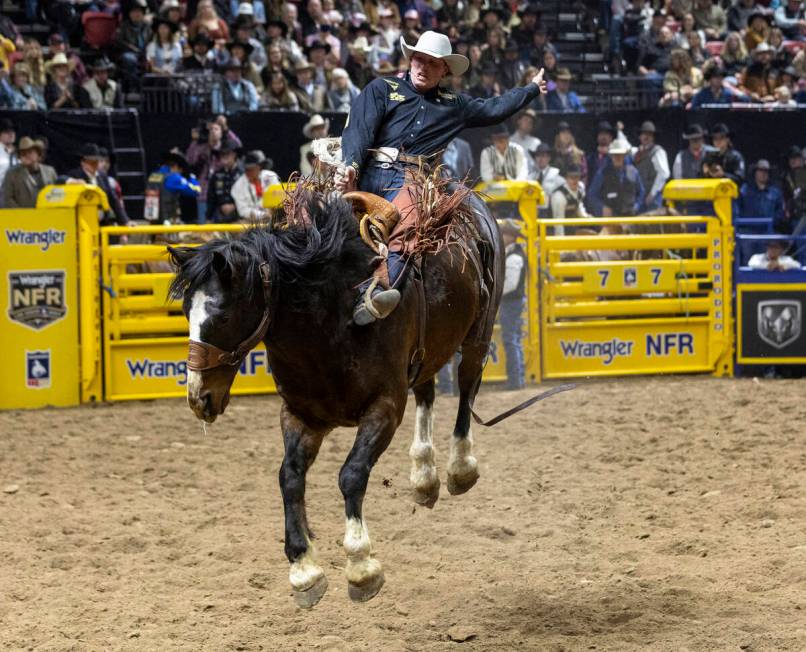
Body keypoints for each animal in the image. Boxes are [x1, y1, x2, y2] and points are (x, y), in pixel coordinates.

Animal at [167, 176, 504, 608]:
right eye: (184, 312)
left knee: (466, 388)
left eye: (221, 316)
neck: (328, 321)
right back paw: (423, 477)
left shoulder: (385, 407)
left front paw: (361, 566)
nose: (198, 398)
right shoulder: (300, 415)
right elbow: (289, 477)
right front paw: (304, 570)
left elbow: (351, 474)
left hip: (479, 332)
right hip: (427, 349)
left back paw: (460, 467)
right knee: (427, 391)